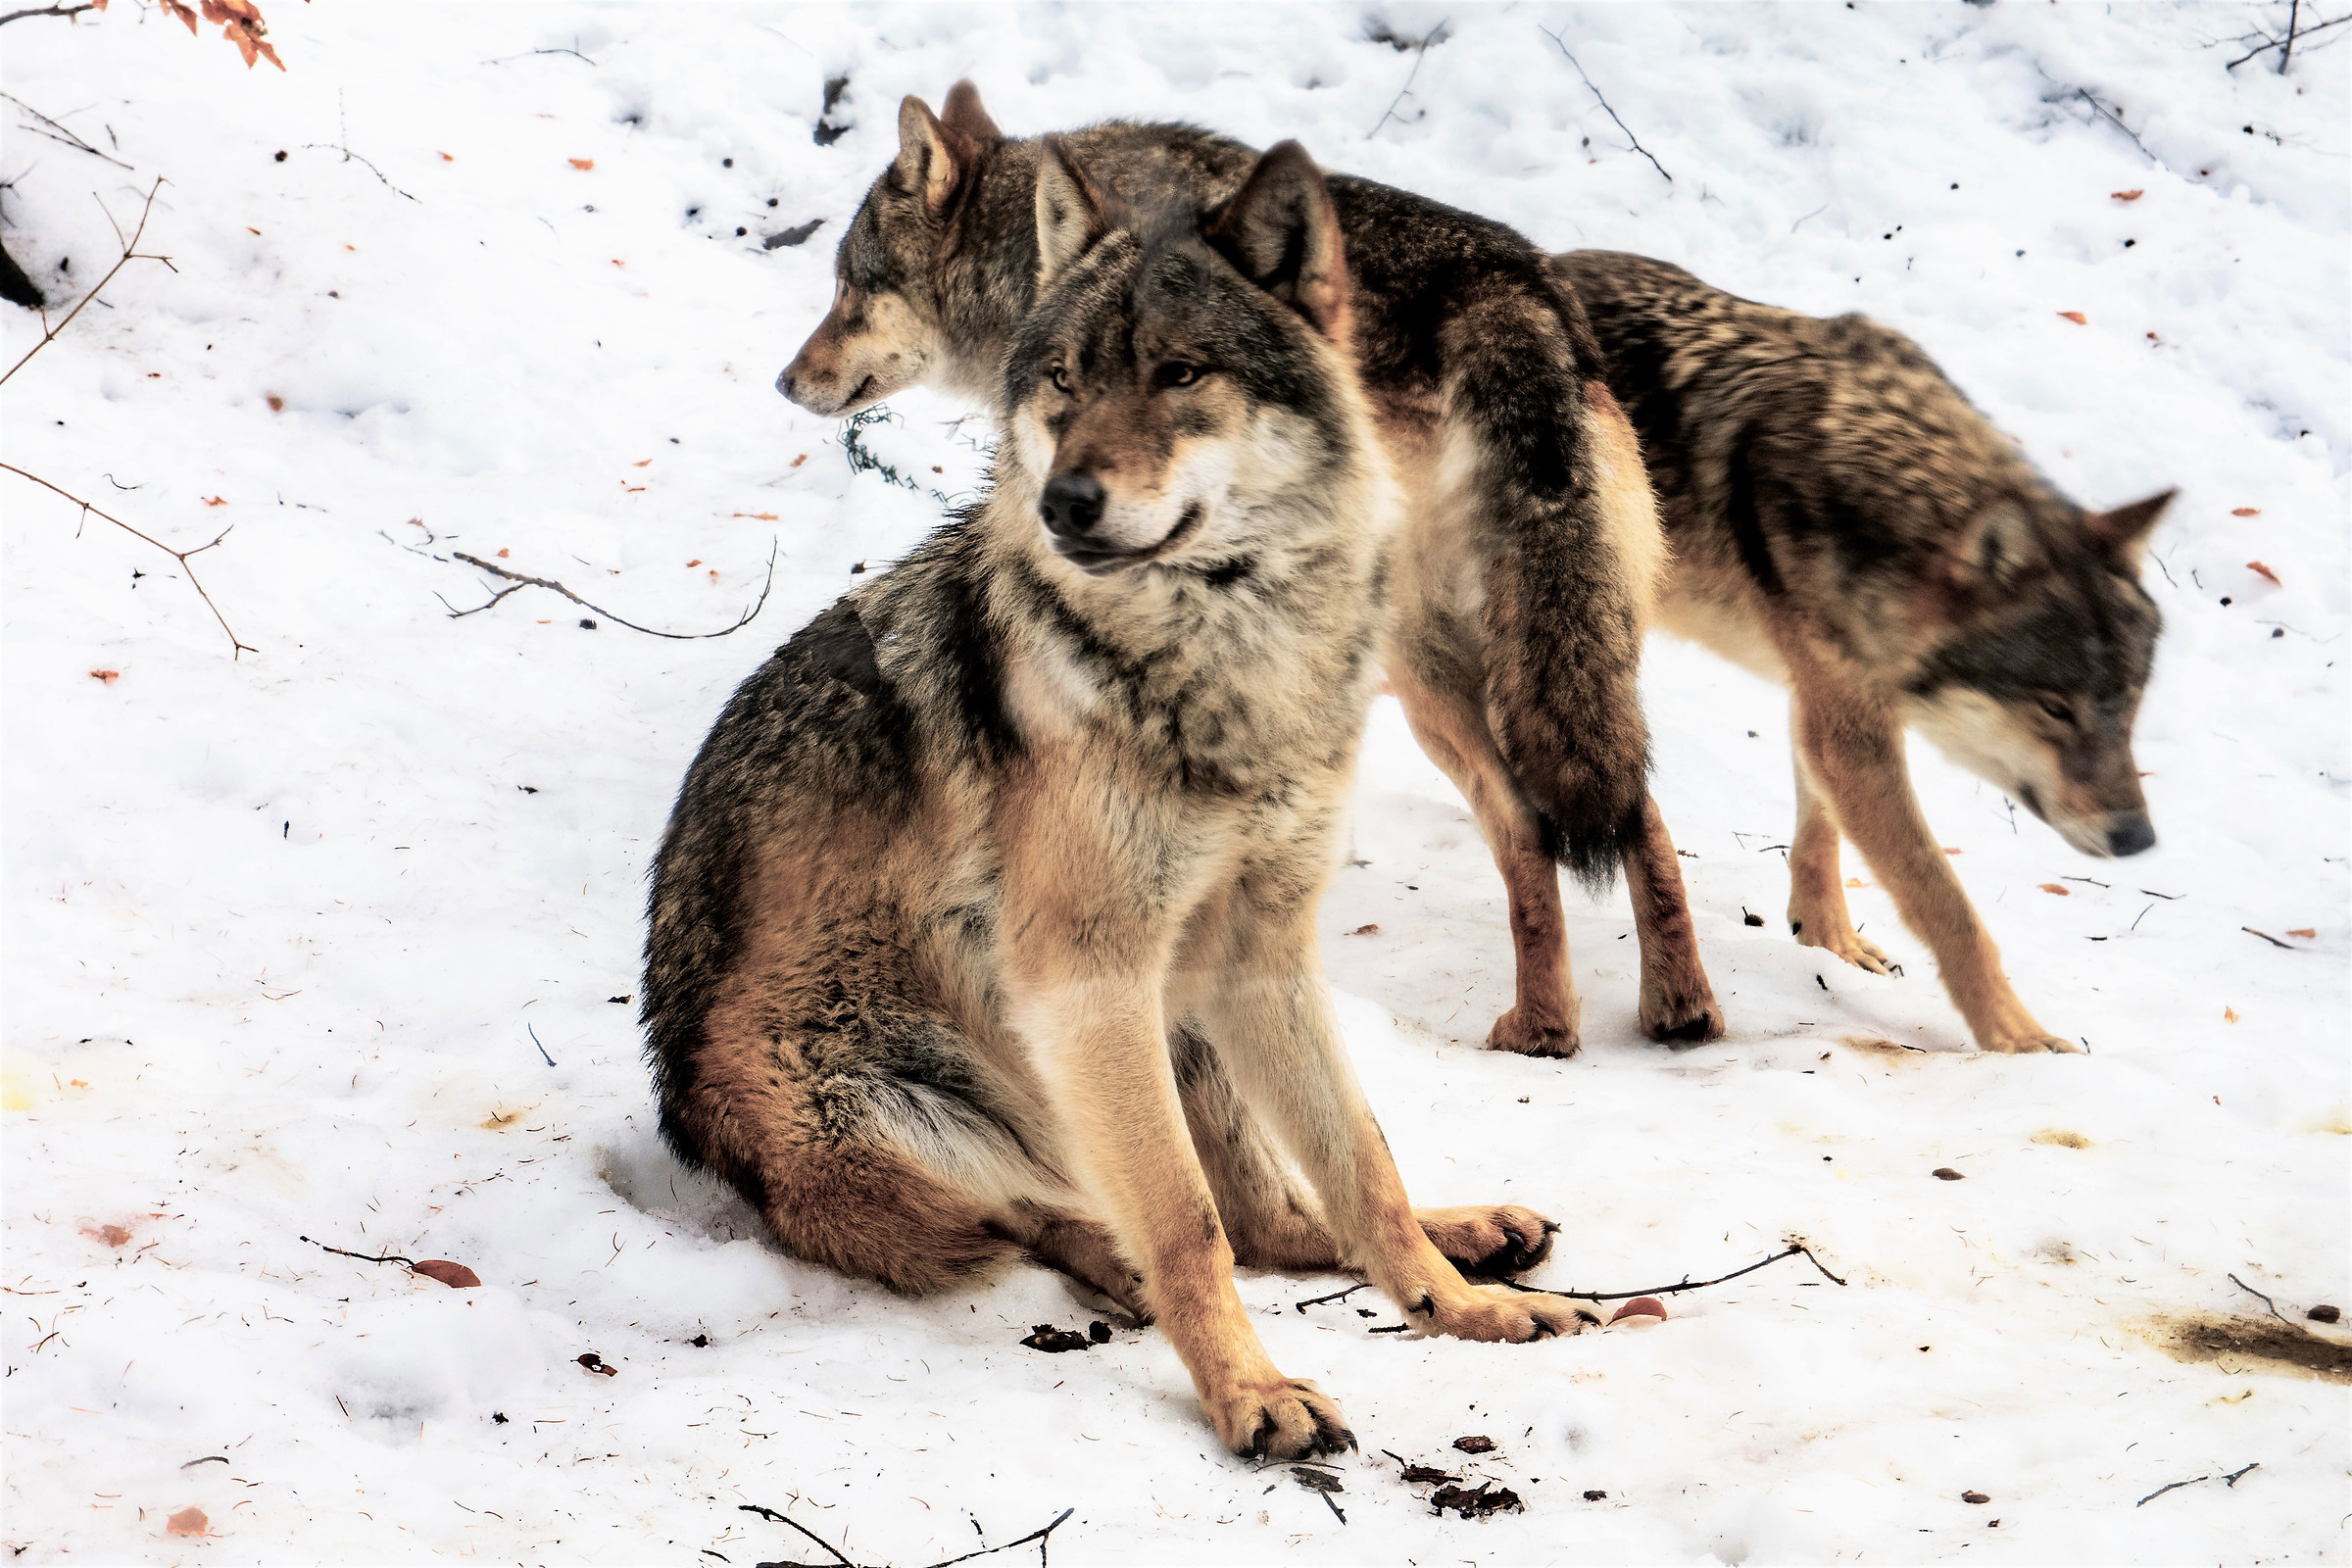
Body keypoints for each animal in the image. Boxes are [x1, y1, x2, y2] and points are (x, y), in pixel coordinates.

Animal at [646, 142, 1586, 1461]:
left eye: (1181, 373)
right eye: (1062, 381)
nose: (1068, 501)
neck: (1226, 665)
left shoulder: (1262, 954)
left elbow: (1360, 1167)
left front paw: (1460, 1311)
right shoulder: (1086, 980)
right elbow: (1186, 1221)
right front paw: (1251, 1395)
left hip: (1173, 1020)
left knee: (1274, 1217)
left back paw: (1475, 1240)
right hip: (901, 1109)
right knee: (1052, 1214)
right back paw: (1119, 1262)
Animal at [779, 83, 1724, 1058]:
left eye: (851, 289)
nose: (786, 380)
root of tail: (1512, 305)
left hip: (1430, 682)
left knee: (1529, 829)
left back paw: (1540, 1026)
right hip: (1574, 659)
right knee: (1632, 803)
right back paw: (1677, 1007)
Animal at [1553, 250, 2169, 1055]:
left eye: (2129, 704)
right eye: (2055, 709)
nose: (2137, 839)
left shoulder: (1825, 698)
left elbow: (1821, 833)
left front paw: (1828, 941)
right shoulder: (1849, 727)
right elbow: (1946, 903)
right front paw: (2016, 1038)